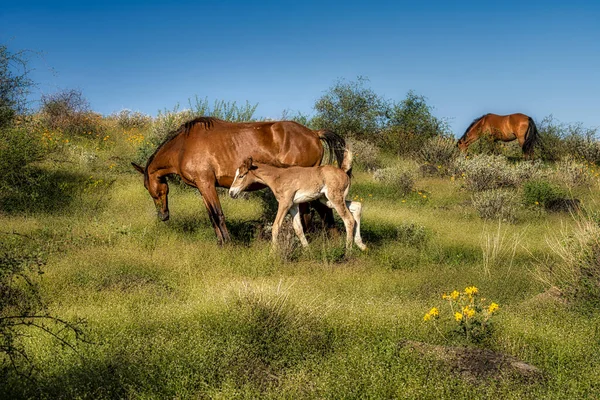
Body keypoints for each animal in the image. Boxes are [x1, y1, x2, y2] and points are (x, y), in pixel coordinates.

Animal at [133, 117, 344, 245]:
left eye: (148, 188)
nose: (163, 216)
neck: (183, 147)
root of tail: (314, 133)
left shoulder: (207, 184)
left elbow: (218, 214)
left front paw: (228, 243)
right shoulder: (202, 189)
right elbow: (211, 216)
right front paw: (220, 243)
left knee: (322, 211)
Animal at [227, 148, 364, 252]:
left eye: (241, 175)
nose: (231, 192)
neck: (278, 177)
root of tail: (344, 172)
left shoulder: (285, 203)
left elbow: (276, 227)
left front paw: (272, 252)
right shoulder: (293, 205)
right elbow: (298, 228)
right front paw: (308, 250)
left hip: (335, 199)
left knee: (349, 219)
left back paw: (348, 251)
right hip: (328, 200)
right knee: (357, 206)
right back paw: (361, 245)